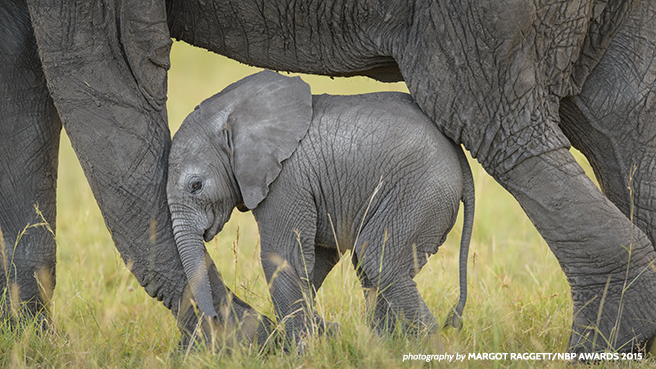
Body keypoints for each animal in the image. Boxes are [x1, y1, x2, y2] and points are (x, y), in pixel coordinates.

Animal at [167, 70, 474, 346]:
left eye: (196, 185)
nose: (213, 320)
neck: (233, 111)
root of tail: (459, 154)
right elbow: (317, 258)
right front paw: (318, 333)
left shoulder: (287, 180)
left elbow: (283, 256)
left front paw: (299, 352)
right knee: (370, 268)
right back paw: (384, 346)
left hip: (421, 192)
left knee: (379, 259)